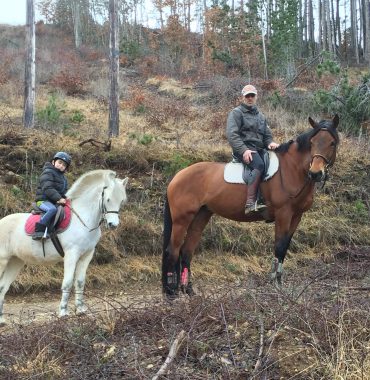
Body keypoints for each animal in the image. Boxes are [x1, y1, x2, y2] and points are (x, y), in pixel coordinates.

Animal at [0, 169, 129, 324]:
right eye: (108, 199)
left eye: (121, 201)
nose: (113, 225)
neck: (83, 219)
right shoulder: (71, 255)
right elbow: (67, 283)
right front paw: (63, 312)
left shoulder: (86, 256)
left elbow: (80, 282)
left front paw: (80, 310)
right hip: (3, 261)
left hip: (15, 261)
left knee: (3, 287)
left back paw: (1, 320)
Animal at [162, 114, 338, 296]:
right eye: (312, 142)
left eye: (332, 143)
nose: (315, 173)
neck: (292, 169)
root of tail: (177, 176)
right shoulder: (283, 214)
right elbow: (279, 246)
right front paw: (275, 283)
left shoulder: (297, 216)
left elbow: (285, 247)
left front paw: (279, 282)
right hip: (181, 220)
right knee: (172, 250)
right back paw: (171, 292)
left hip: (201, 216)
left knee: (186, 250)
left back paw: (188, 289)